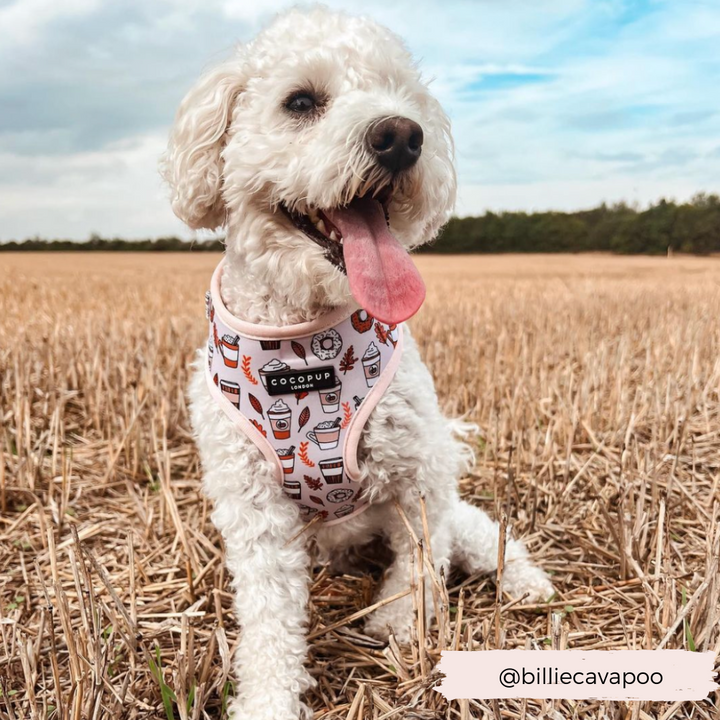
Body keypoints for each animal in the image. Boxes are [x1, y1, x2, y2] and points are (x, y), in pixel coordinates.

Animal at [162, 7, 552, 720]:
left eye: (402, 96)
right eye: (300, 102)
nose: (401, 136)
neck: (301, 348)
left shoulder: (419, 478)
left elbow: (419, 565)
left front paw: (398, 627)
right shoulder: (256, 513)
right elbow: (269, 620)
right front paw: (268, 698)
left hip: (454, 502)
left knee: (485, 537)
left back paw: (527, 582)